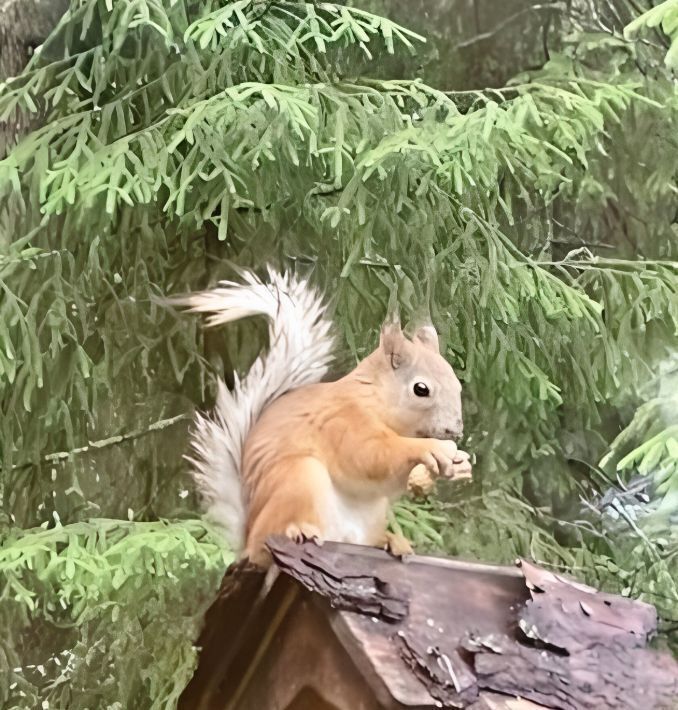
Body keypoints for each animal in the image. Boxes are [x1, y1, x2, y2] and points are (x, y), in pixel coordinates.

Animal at [171, 268, 472, 568]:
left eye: (456, 384)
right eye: (421, 389)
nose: (455, 430)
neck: (374, 400)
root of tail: (247, 536)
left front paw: (459, 466)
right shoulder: (341, 421)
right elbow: (372, 455)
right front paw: (431, 448)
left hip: (370, 514)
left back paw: (389, 541)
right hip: (299, 479)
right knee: (267, 542)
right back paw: (297, 531)